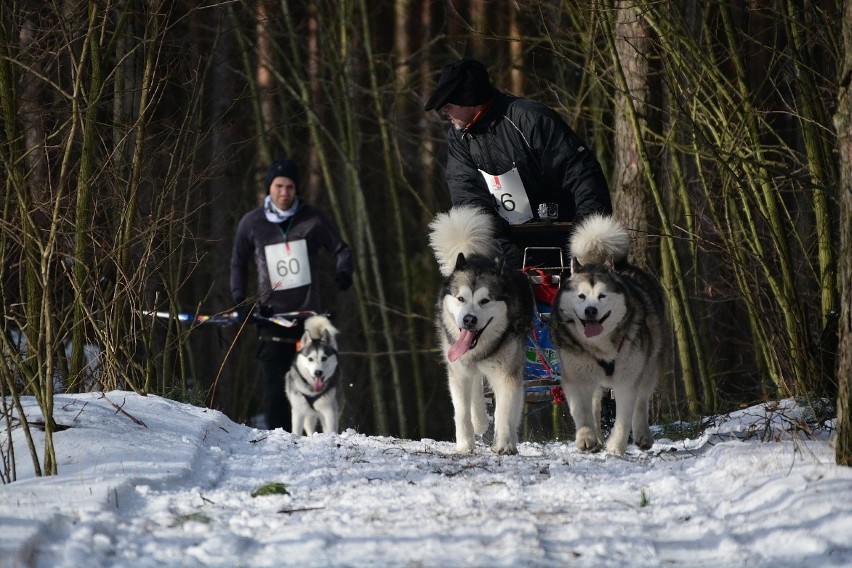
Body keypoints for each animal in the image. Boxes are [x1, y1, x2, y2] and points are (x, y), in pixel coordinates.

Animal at [432, 205, 532, 452]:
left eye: (485, 301)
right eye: (461, 298)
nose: (469, 320)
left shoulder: (507, 372)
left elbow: (505, 410)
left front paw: (504, 444)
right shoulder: (458, 370)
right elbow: (461, 410)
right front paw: (465, 444)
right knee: (476, 388)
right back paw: (478, 421)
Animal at [548, 215, 668, 454]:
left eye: (602, 296)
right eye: (581, 296)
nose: (590, 311)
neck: (600, 345)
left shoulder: (628, 378)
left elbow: (625, 415)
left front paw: (616, 446)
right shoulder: (576, 374)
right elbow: (582, 410)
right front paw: (586, 437)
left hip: (649, 365)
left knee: (641, 402)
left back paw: (642, 435)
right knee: (595, 404)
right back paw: (597, 436)